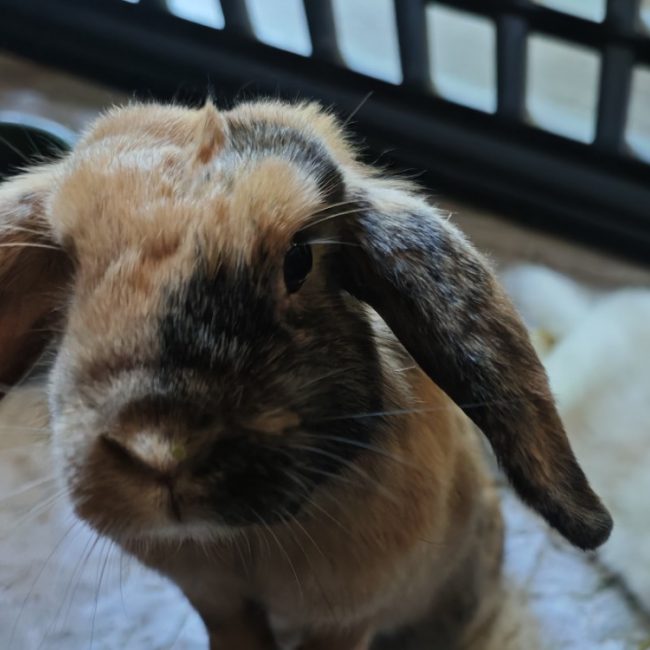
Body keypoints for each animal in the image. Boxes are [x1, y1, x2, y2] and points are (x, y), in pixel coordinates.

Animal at [0, 100, 612, 650]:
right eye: (69, 268)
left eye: (299, 260)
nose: (158, 446)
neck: (244, 538)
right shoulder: (217, 602)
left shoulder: (346, 617)